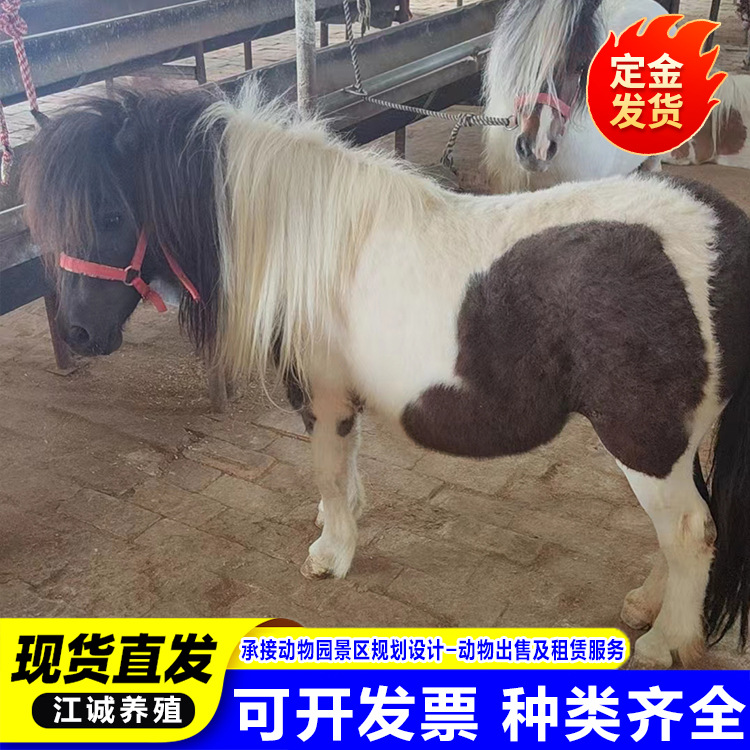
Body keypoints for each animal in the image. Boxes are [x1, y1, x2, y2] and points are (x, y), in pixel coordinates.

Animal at [21, 82, 750, 669]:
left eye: (112, 215)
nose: (79, 333)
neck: (299, 236)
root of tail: (722, 234)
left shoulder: (323, 393)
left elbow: (327, 470)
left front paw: (330, 553)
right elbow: (343, 470)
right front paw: (338, 523)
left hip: (643, 438)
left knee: (690, 531)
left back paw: (664, 644)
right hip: (662, 440)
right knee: (678, 527)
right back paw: (645, 605)